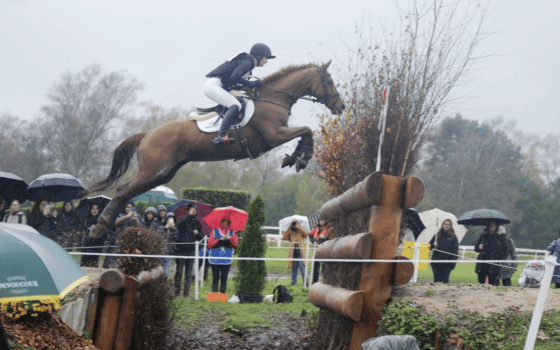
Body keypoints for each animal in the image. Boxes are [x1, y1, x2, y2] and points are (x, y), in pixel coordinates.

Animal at [86, 61, 346, 239]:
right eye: (329, 82)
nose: (341, 106)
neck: (272, 99)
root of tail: (148, 133)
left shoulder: (278, 134)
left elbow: (305, 133)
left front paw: (293, 158)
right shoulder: (274, 135)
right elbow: (307, 130)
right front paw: (302, 159)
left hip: (162, 174)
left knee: (127, 192)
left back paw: (106, 224)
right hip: (153, 171)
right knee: (122, 190)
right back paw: (99, 227)